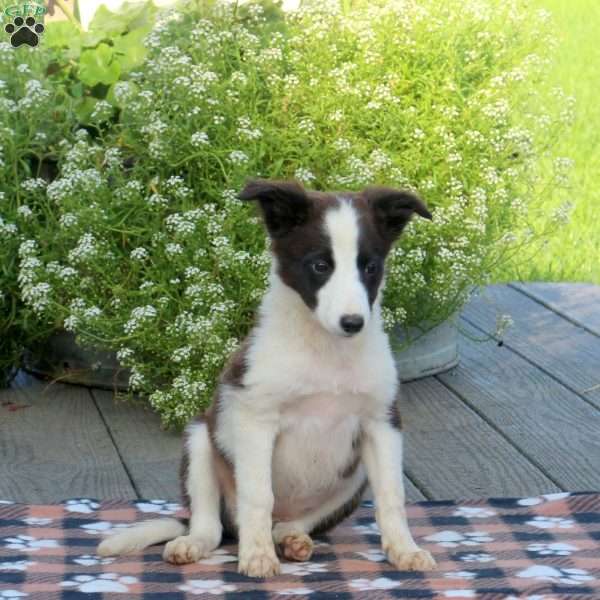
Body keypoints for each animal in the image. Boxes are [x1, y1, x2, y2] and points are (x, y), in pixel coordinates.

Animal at [98, 178, 436, 576]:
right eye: (320, 265)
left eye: (370, 267)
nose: (353, 323)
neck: (325, 351)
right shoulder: (255, 419)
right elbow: (259, 494)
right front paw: (257, 557)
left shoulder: (382, 423)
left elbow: (392, 495)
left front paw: (404, 549)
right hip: (199, 441)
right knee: (213, 526)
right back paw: (196, 543)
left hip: (351, 481)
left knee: (292, 523)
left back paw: (292, 539)